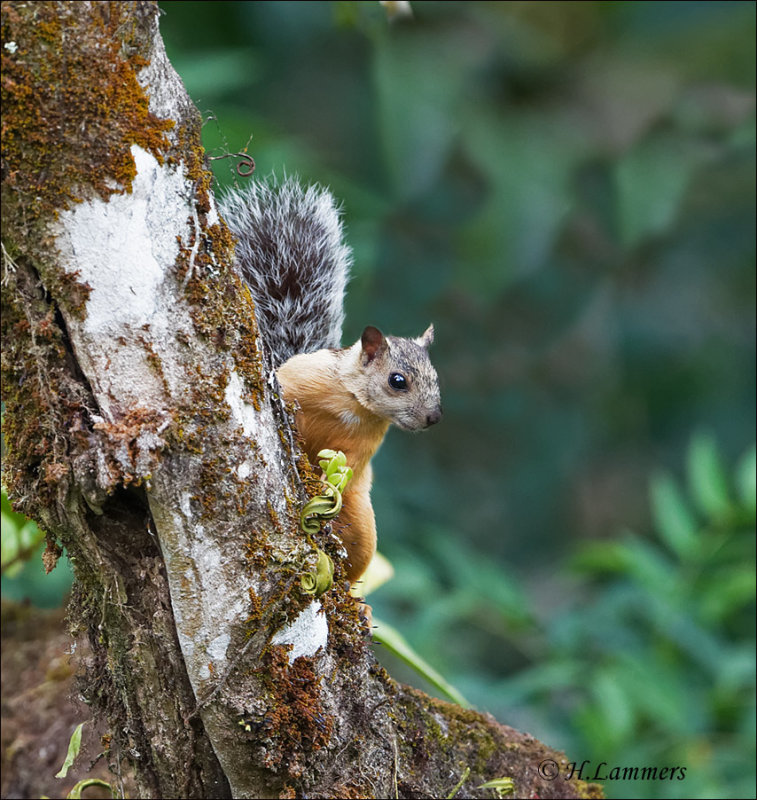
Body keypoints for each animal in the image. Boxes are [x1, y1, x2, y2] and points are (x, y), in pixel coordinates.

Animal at [219, 180, 440, 588]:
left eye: (436, 377)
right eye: (397, 381)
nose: (434, 418)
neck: (352, 405)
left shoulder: (362, 447)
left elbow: (344, 466)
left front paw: (325, 486)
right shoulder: (299, 377)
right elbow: (284, 393)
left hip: (362, 525)